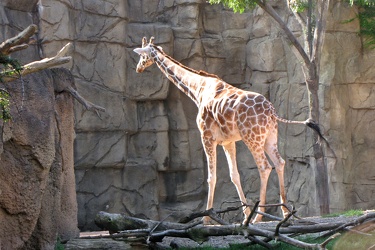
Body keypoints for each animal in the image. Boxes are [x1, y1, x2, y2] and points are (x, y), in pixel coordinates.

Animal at [134, 36, 324, 223]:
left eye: (142, 55)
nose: (138, 68)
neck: (198, 89)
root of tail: (271, 111)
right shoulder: (228, 141)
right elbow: (234, 175)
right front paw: (245, 214)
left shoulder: (206, 136)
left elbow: (212, 177)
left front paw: (207, 217)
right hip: (270, 137)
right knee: (279, 162)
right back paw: (284, 212)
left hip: (252, 138)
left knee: (264, 167)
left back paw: (258, 217)